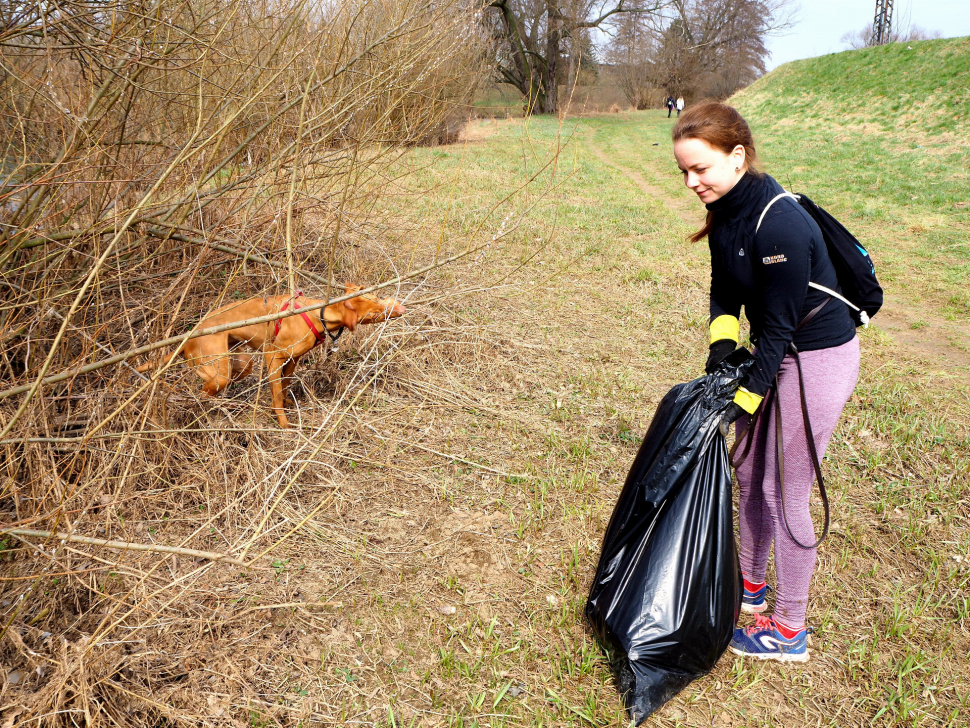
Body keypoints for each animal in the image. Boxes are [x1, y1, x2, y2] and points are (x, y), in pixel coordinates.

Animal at [136, 284, 404, 426]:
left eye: (378, 296)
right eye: (374, 314)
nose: (401, 308)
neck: (317, 313)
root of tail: (188, 336)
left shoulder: (292, 361)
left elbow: (284, 387)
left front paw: (288, 404)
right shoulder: (272, 355)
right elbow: (276, 395)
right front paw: (283, 423)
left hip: (240, 363)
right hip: (220, 369)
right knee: (201, 392)